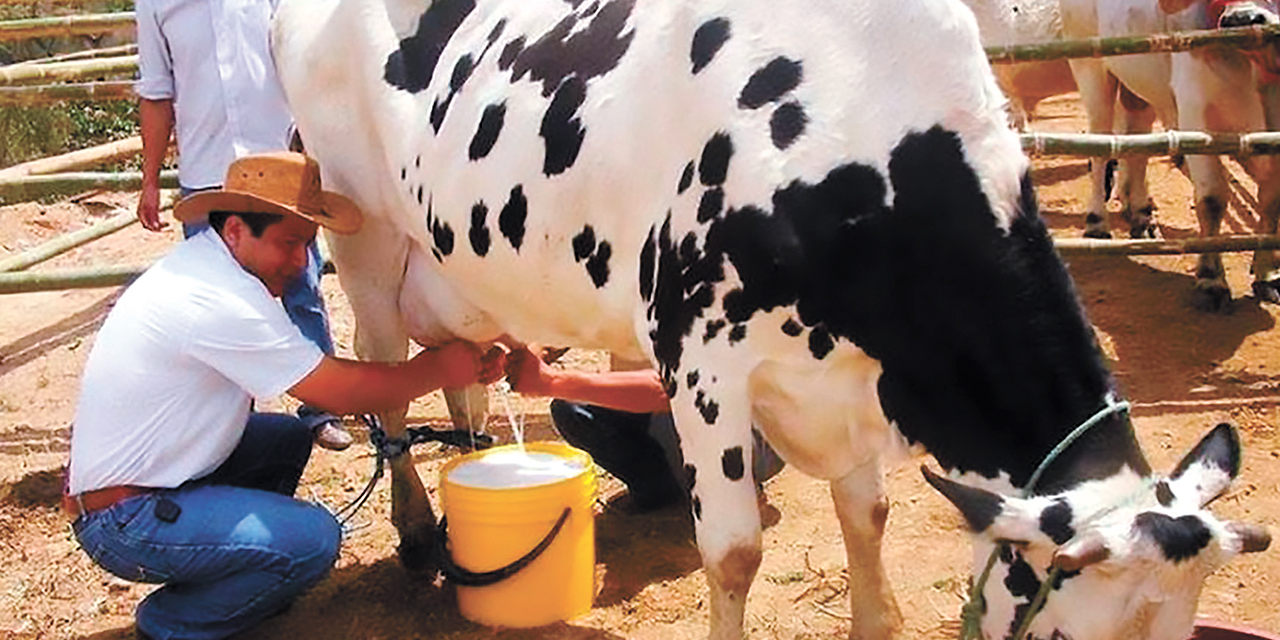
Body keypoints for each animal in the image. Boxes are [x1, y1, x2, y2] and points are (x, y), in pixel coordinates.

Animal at [272, 0, 1269, 637]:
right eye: (1066, 632)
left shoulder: (855, 376)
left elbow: (866, 518)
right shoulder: (701, 359)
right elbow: (735, 553)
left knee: (461, 370)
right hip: (363, 235)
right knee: (385, 377)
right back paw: (416, 533)